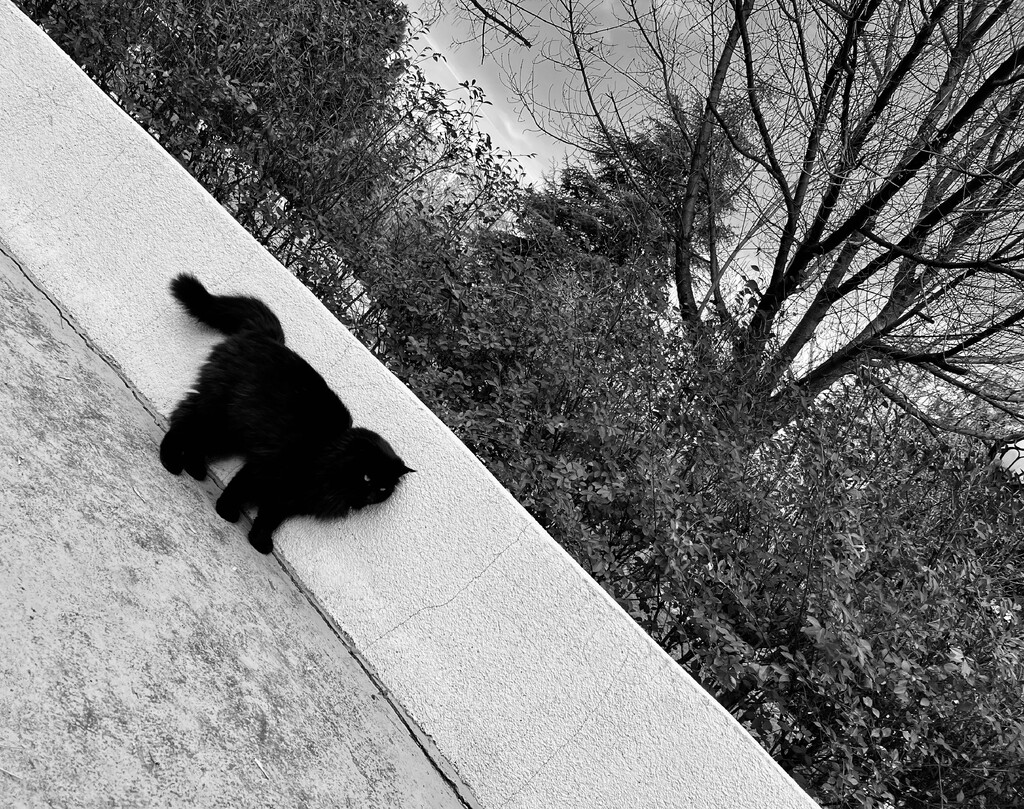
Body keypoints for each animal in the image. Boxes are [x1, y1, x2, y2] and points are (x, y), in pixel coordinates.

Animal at [160, 273, 413, 554]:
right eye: (367, 477)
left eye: (382, 488)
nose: (369, 496)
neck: (327, 454)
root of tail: (269, 337)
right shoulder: (267, 467)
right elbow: (240, 489)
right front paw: (226, 511)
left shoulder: (291, 497)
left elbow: (270, 519)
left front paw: (259, 540)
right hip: (218, 413)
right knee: (183, 422)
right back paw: (170, 460)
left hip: (232, 430)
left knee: (198, 441)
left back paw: (195, 468)